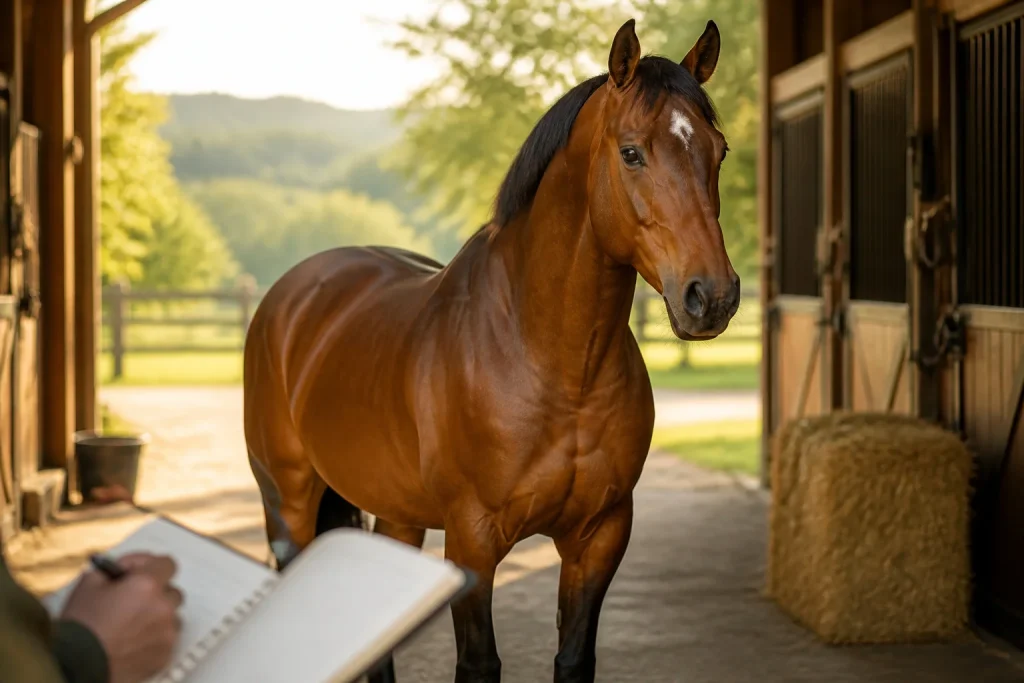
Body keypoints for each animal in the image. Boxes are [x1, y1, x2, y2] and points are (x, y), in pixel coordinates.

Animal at [244, 18, 738, 683]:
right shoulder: (472, 543)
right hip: (287, 506)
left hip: (396, 515)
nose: (711, 296)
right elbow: (480, 662)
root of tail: (290, 294)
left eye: (719, 151)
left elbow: (574, 657)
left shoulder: (600, 537)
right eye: (632, 152)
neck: (555, 365)